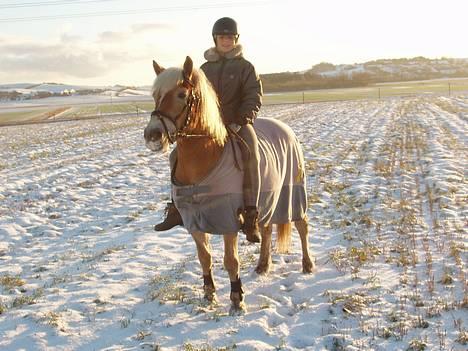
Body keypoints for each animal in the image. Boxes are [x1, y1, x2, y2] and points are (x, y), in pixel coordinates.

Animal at [144, 56, 314, 314]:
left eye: (182, 94)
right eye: (155, 94)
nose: (152, 135)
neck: (203, 158)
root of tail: (285, 129)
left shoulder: (228, 221)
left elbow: (230, 261)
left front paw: (237, 298)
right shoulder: (194, 222)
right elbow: (204, 258)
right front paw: (209, 293)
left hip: (294, 194)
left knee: (302, 226)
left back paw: (307, 264)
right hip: (269, 199)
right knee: (266, 229)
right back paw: (263, 265)